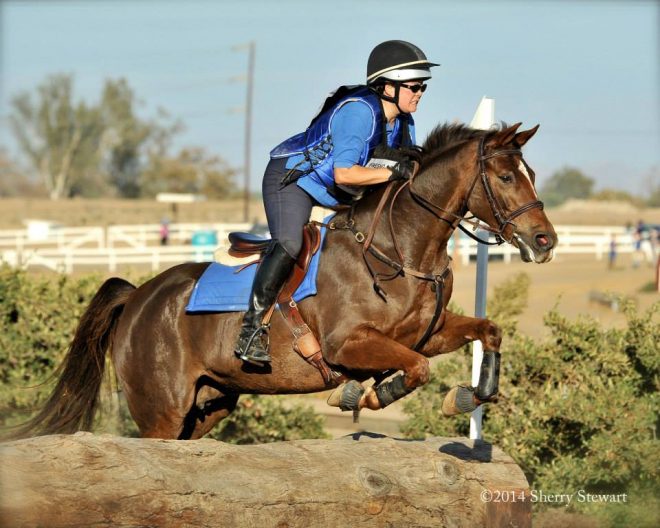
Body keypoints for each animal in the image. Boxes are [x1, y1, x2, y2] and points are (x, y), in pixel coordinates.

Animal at [12, 121, 556, 440]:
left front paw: (468, 396)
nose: (545, 240)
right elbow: (416, 370)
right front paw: (362, 395)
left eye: (530, 173)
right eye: (506, 178)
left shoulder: (428, 332)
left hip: (208, 405)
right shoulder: (348, 343)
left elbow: (487, 332)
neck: (400, 250)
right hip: (162, 412)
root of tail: (139, 296)